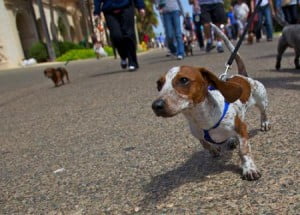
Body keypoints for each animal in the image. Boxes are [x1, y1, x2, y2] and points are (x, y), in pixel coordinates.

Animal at [151, 23, 270, 181]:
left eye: (184, 80)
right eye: (159, 84)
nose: (156, 106)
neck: (200, 118)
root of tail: (242, 75)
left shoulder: (241, 128)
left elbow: (243, 151)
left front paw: (249, 169)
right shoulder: (198, 134)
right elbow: (205, 144)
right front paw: (214, 149)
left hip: (261, 100)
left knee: (263, 112)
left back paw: (265, 123)